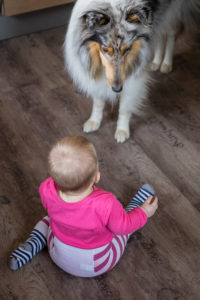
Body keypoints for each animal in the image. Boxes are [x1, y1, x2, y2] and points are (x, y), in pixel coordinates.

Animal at [64, 0, 200, 143]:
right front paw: (94, 121)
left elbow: (124, 107)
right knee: (159, 38)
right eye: (105, 49)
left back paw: (166, 64)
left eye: (127, 49)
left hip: (172, 13)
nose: (117, 89)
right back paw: (156, 62)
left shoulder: (133, 78)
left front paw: (122, 131)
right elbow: (98, 101)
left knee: (170, 35)